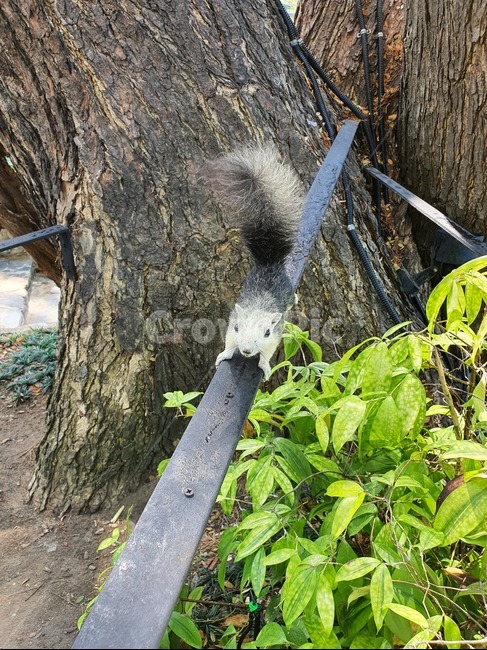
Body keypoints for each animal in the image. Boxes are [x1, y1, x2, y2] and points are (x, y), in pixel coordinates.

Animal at [205, 146, 304, 380]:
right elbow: (229, 344)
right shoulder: (231, 330)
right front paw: (224, 355)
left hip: (287, 291)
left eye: (266, 332)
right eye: (237, 327)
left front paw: (265, 366)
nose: (247, 350)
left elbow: (267, 355)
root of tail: (269, 263)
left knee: (290, 298)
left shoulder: (275, 337)